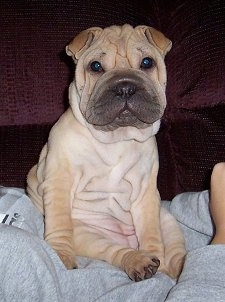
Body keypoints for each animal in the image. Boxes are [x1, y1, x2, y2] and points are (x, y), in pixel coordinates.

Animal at [27, 24, 185, 282]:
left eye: (147, 63)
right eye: (96, 67)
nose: (125, 87)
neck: (116, 138)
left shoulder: (145, 191)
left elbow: (150, 232)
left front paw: (157, 260)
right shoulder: (60, 181)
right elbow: (59, 224)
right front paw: (60, 255)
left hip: (168, 221)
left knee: (174, 252)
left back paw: (173, 266)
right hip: (88, 235)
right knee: (115, 251)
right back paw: (137, 260)